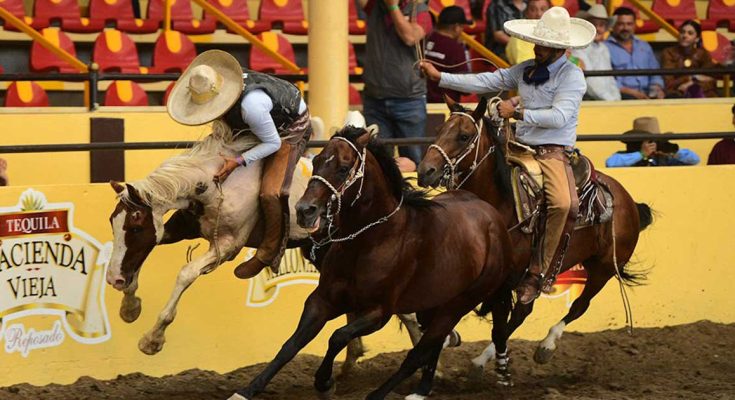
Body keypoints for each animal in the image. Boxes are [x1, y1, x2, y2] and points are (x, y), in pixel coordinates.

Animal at [230, 126, 516, 400]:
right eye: (318, 161)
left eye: (343, 167)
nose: (304, 210)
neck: (368, 240)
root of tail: (493, 217)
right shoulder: (323, 299)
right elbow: (292, 344)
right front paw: (246, 390)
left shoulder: (378, 312)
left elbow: (338, 336)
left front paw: (325, 383)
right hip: (433, 304)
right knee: (430, 347)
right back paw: (422, 388)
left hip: (459, 303)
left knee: (418, 353)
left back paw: (381, 393)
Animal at [416, 97, 652, 378]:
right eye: (439, 130)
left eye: (464, 136)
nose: (425, 171)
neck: (503, 204)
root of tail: (627, 200)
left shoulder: (505, 279)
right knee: (522, 313)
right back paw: (484, 358)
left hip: (602, 269)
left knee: (578, 306)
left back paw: (544, 347)